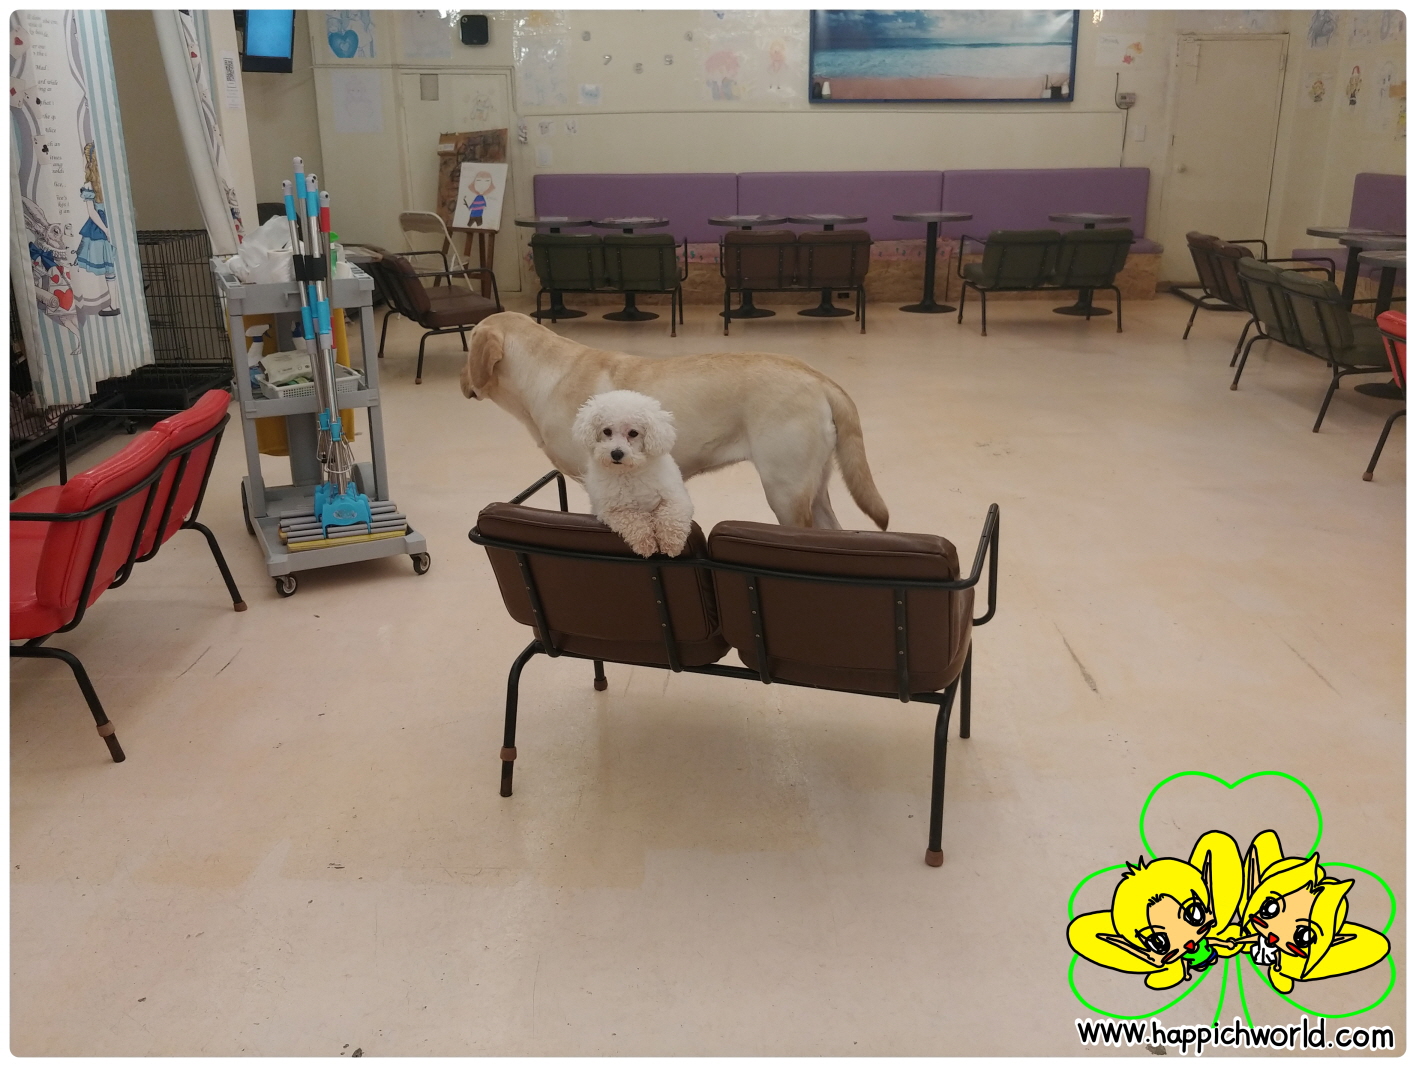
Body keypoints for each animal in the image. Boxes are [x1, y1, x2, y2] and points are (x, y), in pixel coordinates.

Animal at [460, 312, 889, 530]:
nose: (461, 381)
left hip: (785, 489)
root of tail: (818, 377)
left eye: (469, 349)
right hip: (814, 485)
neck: (546, 372)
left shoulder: (596, 479)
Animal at [573, 390, 693, 557]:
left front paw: (671, 544)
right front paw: (647, 545)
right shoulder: (613, 510)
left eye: (633, 433)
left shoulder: (675, 497)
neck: (629, 472)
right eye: (607, 431)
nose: (616, 453)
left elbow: (671, 516)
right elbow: (634, 522)